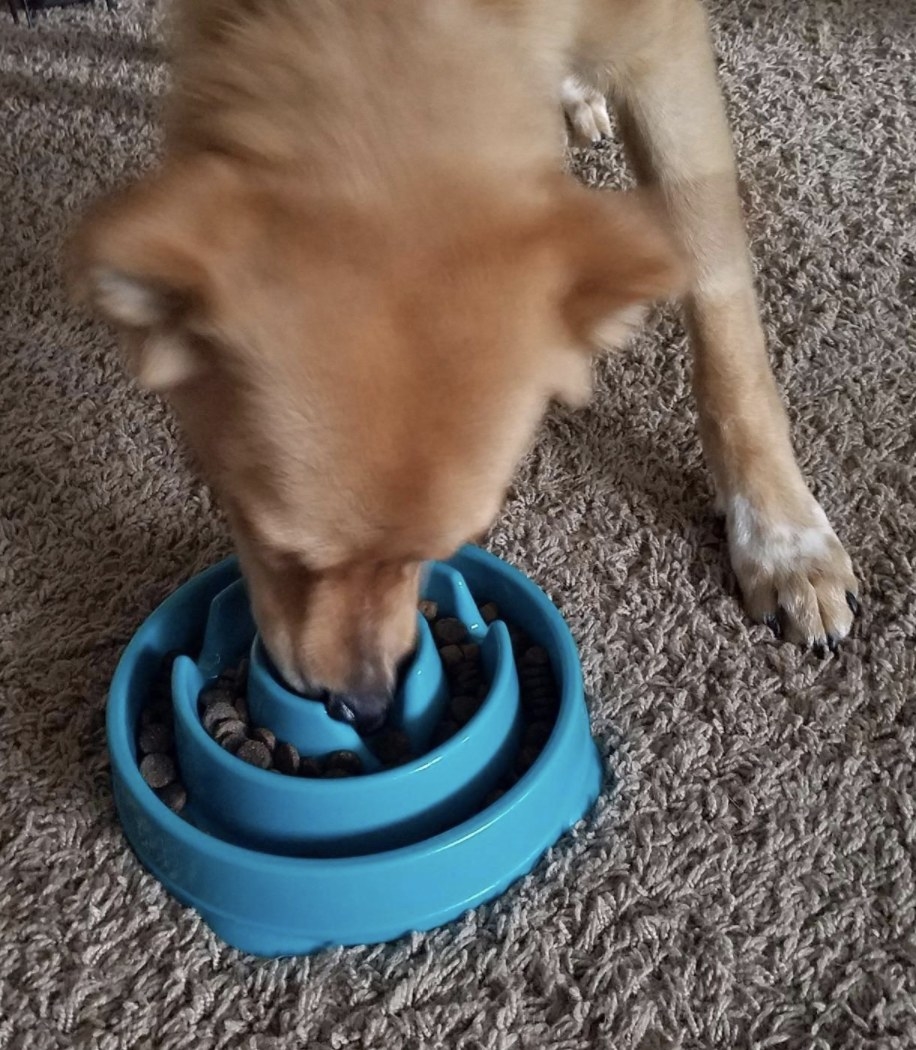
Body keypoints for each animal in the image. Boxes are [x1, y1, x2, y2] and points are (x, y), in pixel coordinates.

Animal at [69, 0, 857, 730]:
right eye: (273, 547)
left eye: (447, 547)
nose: (365, 704)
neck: (385, 23)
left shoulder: (664, 44)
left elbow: (717, 298)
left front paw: (783, 539)